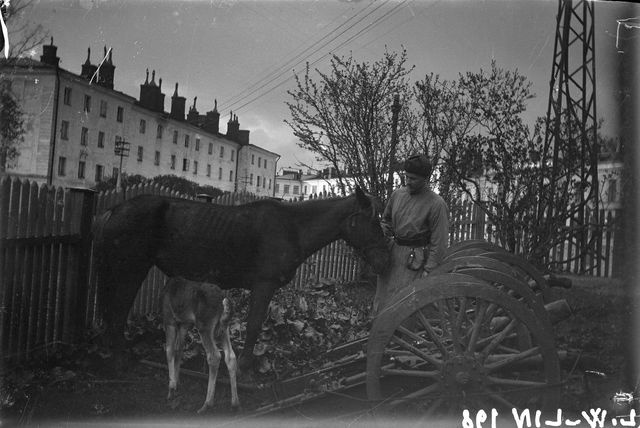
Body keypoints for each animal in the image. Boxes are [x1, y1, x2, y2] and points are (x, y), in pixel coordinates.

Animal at [92, 187, 388, 374]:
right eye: (373, 222)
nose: (385, 260)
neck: (292, 227)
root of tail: (115, 209)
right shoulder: (263, 285)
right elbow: (254, 325)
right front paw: (245, 367)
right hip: (130, 271)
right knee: (117, 314)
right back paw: (119, 362)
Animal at [160, 276, 240, 412]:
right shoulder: (185, 324)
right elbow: (179, 350)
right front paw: (177, 382)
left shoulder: (169, 319)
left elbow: (169, 350)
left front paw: (171, 389)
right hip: (223, 328)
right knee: (230, 356)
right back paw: (235, 403)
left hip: (204, 325)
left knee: (214, 356)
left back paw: (207, 404)